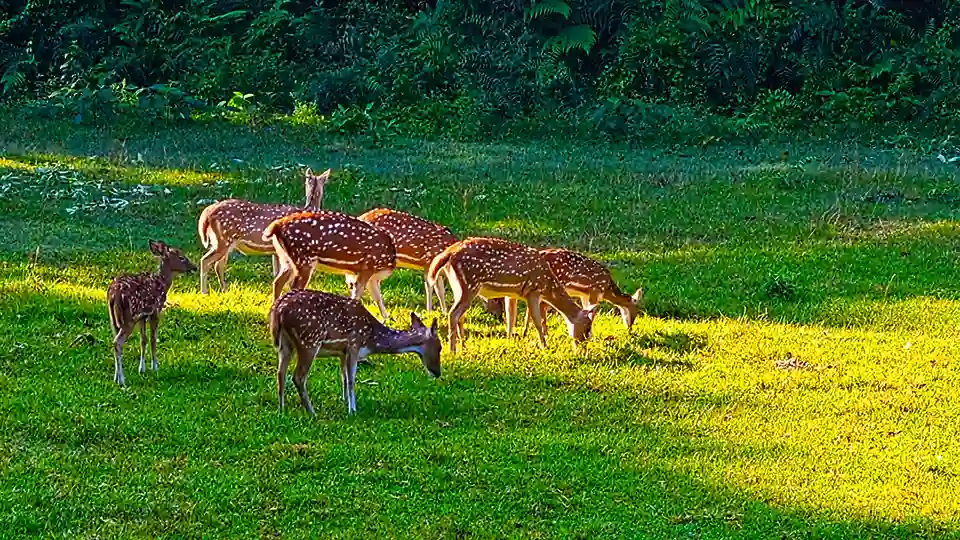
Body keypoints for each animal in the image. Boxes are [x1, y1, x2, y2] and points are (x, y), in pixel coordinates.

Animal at [106, 240, 196, 386]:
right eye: (181, 257)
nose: (194, 267)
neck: (162, 284)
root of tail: (114, 294)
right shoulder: (156, 310)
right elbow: (153, 339)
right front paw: (155, 367)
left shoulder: (142, 316)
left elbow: (143, 340)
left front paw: (142, 369)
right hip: (128, 318)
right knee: (117, 342)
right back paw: (122, 380)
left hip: (113, 318)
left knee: (115, 340)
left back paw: (115, 377)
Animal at [196, 167, 331, 294]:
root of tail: (207, 212)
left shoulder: (275, 251)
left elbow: (276, 273)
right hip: (223, 240)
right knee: (205, 261)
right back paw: (204, 292)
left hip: (221, 241)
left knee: (218, 265)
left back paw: (224, 290)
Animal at [262, 210, 397, 320]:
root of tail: (276, 226)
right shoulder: (367, 267)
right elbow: (357, 293)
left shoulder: (371, 277)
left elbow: (377, 298)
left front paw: (386, 321)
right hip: (304, 258)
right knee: (293, 287)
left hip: (285, 258)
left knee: (278, 281)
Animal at [269, 289, 441, 415]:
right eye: (439, 347)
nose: (437, 373)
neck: (371, 339)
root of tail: (278, 310)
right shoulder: (354, 345)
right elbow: (351, 380)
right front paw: (352, 411)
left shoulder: (342, 352)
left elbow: (344, 378)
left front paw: (345, 402)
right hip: (309, 341)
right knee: (298, 377)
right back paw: (312, 412)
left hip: (285, 344)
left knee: (280, 373)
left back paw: (281, 410)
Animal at [426, 237, 597, 353]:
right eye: (587, 328)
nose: (582, 346)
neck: (548, 285)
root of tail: (449, 253)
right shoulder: (533, 291)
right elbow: (536, 321)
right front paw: (544, 346)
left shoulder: (512, 294)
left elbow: (511, 317)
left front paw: (509, 341)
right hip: (469, 285)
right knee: (453, 313)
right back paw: (453, 350)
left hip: (458, 285)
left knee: (459, 315)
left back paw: (463, 346)